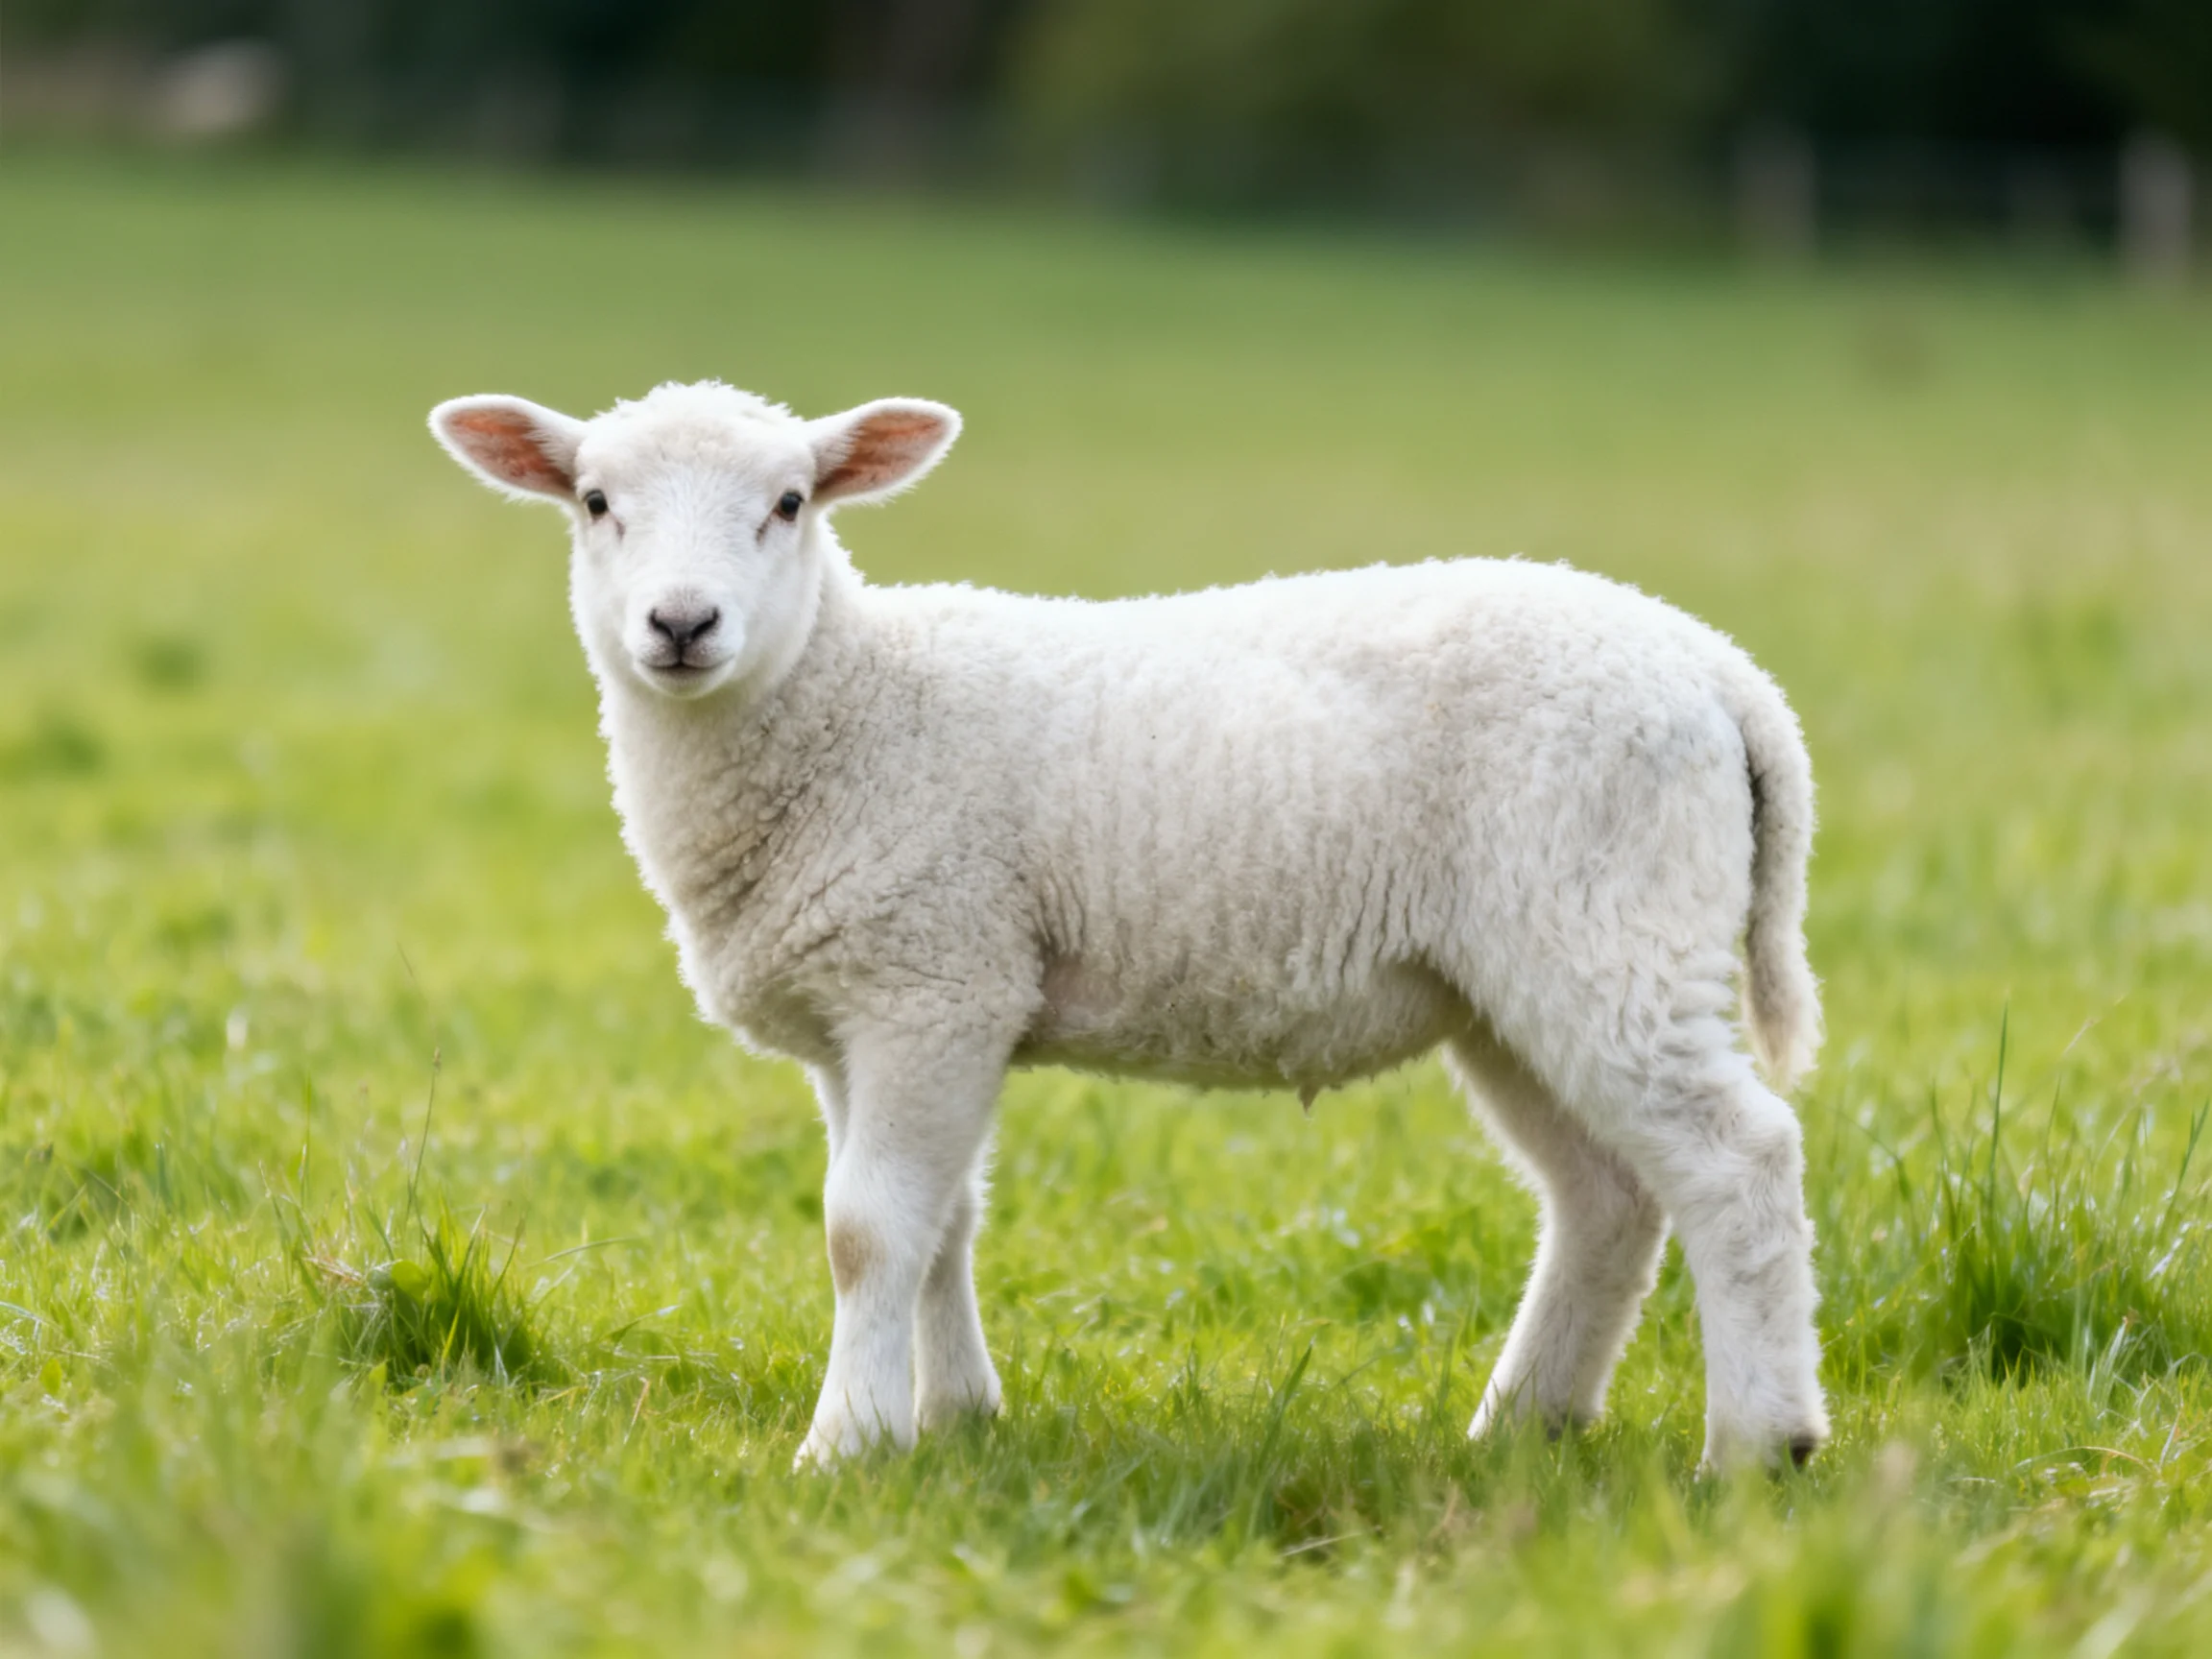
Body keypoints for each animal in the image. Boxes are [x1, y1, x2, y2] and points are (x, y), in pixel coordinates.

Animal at [428, 378, 1829, 1472]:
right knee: (1607, 1197)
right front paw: (955, 1420)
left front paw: (846, 1445)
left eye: (789, 504)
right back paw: (1524, 1427)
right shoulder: (878, 1005)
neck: (850, 703)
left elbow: (866, 1229)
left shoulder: (933, 976)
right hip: (1514, 978)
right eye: (594, 503)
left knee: (1738, 1160)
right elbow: (940, 1224)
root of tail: (1724, 675)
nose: (681, 624)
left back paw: (1760, 1446)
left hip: (1608, 922)